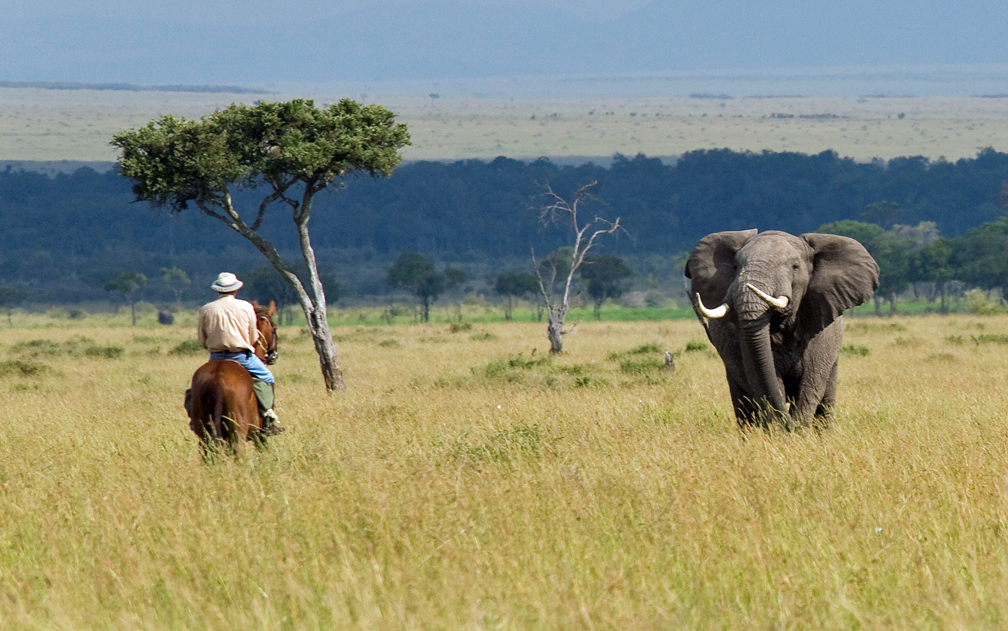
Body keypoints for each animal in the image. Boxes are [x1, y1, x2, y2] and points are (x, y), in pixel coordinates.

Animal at [187, 302, 276, 449]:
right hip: (238, 432)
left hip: (204, 435)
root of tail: (217, 379)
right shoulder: (259, 435)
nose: (273, 356)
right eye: (274, 328)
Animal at [681, 228, 878, 429]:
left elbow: (810, 383)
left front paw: (799, 429)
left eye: (795, 267)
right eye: (736, 266)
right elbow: (767, 380)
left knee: (826, 399)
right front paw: (782, 430)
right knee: (743, 403)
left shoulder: (822, 331)